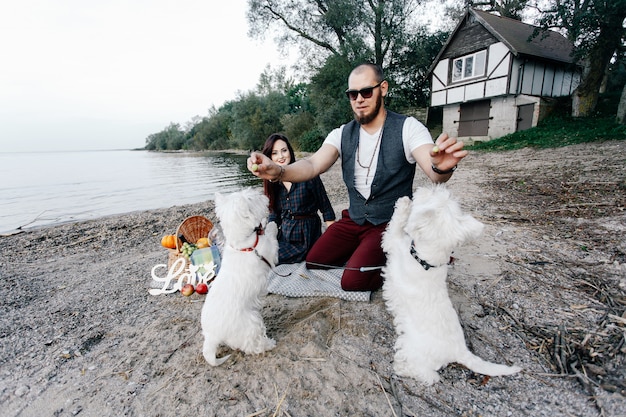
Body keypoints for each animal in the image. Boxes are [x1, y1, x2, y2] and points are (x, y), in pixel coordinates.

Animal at [201, 187, 276, 366]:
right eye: (251, 198)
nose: (263, 195)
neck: (242, 243)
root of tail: (212, 336)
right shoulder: (269, 253)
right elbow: (271, 237)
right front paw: (271, 224)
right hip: (251, 323)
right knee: (253, 346)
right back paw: (269, 344)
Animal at [378, 184, 520, 386]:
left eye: (433, 194)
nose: (423, 187)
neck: (426, 260)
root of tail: (460, 351)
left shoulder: (393, 243)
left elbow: (396, 225)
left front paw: (404, 203)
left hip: (414, 350)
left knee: (428, 374)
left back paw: (400, 368)